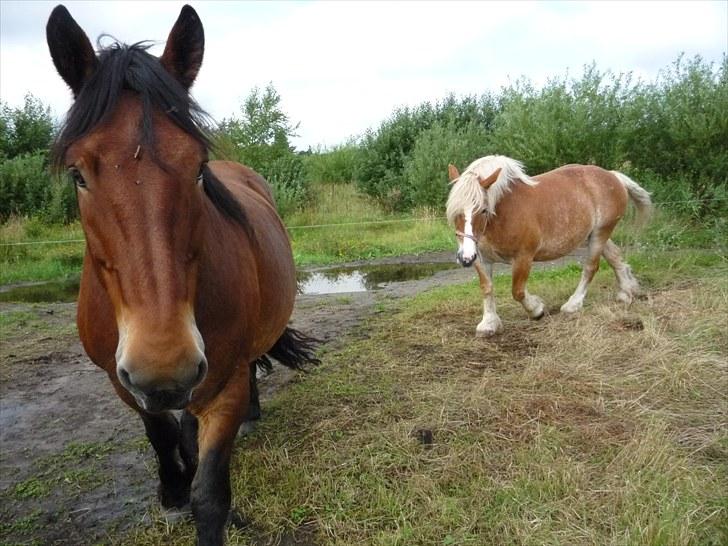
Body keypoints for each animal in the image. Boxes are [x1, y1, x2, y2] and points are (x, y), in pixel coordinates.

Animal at [44, 5, 318, 544]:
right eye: (78, 174)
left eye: (198, 168)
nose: (165, 363)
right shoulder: (123, 382)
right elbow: (162, 432)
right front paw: (171, 491)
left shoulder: (223, 384)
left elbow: (210, 495)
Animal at [446, 153, 652, 338]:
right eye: (454, 211)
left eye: (482, 210)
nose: (465, 258)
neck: (501, 214)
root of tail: (612, 175)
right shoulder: (481, 259)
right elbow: (487, 288)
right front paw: (489, 323)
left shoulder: (523, 257)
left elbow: (518, 291)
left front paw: (536, 309)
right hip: (596, 234)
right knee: (615, 257)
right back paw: (626, 291)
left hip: (600, 234)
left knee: (590, 268)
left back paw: (573, 305)